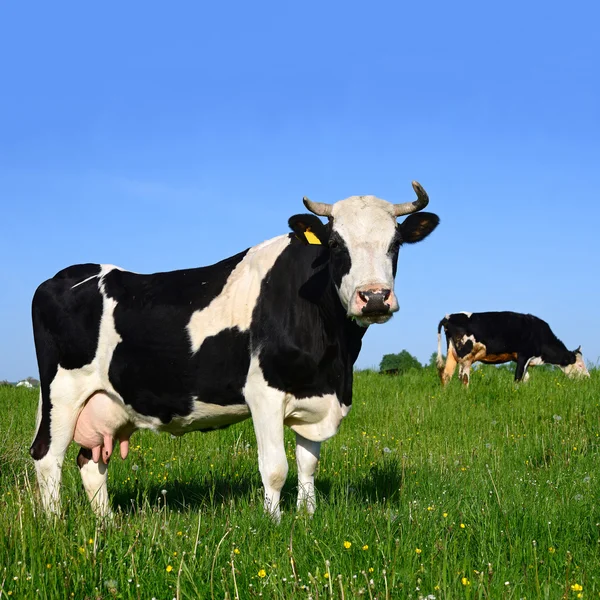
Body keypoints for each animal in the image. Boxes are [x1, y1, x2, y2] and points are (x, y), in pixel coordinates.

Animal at [30, 182, 438, 520]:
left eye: (395, 244)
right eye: (337, 244)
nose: (374, 297)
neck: (334, 360)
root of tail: (63, 275)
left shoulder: (315, 394)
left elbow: (307, 465)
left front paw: (307, 518)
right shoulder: (264, 392)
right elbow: (275, 468)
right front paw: (274, 524)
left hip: (106, 402)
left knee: (90, 461)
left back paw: (107, 525)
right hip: (61, 394)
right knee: (47, 456)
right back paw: (56, 524)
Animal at [436, 312, 592, 386]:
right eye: (580, 365)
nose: (588, 378)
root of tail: (448, 317)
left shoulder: (525, 360)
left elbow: (525, 379)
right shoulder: (523, 356)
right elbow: (517, 378)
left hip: (452, 354)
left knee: (446, 375)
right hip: (466, 357)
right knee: (463, 378)